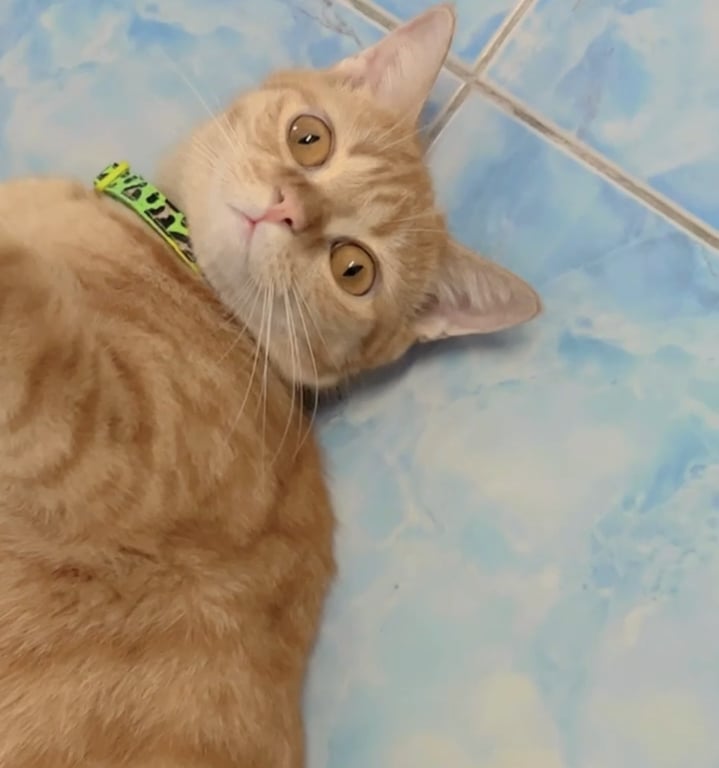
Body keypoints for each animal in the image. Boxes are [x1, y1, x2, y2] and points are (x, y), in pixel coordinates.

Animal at [0, 4, 539, 767]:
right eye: (309, 139)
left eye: (353, 269)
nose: (287, 208)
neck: (181, 266)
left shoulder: (109, 437)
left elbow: (33, 324)